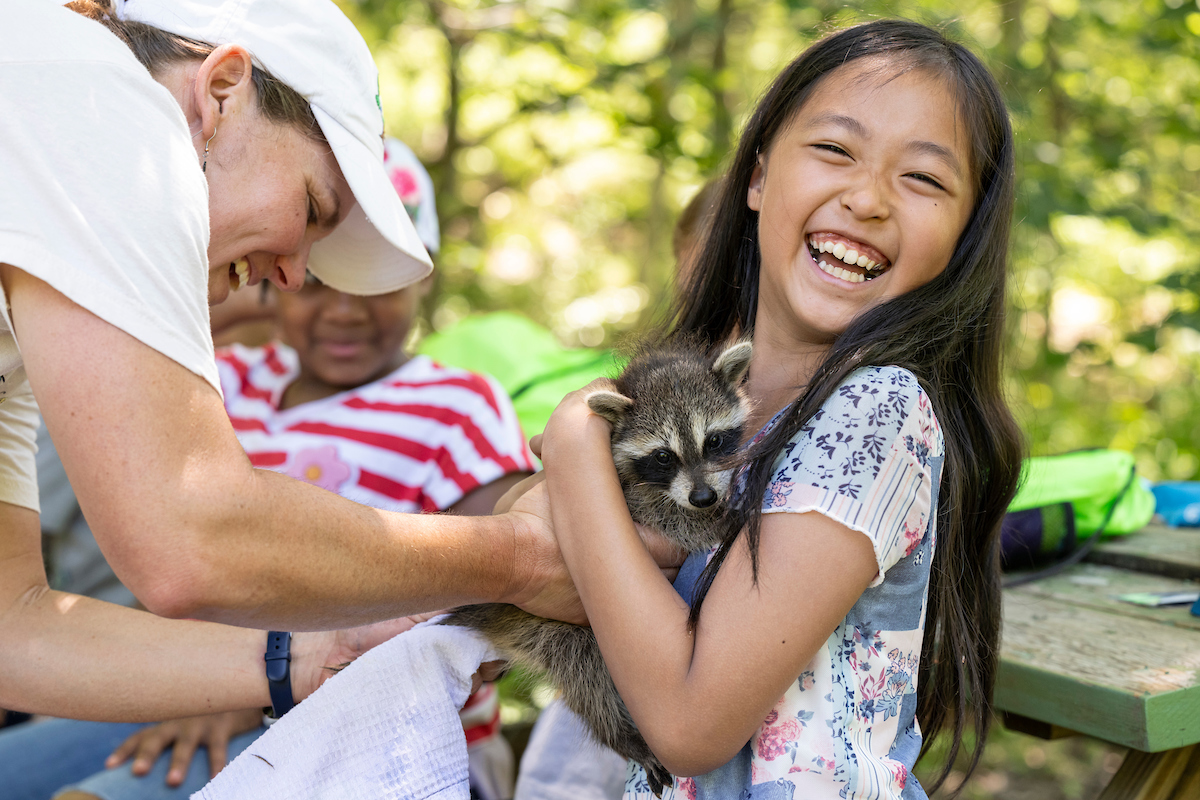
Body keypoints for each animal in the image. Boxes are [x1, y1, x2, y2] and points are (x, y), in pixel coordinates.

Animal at [441, 338, 748, 796]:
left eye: (713, 441)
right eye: (663, 456)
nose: (704, 498)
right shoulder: (629, 493)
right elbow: (665, 516)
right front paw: (715, 521)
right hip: (550, 628)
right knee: (586, 671)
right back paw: (619, 735)